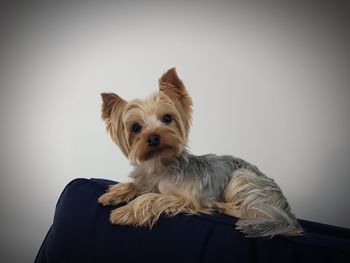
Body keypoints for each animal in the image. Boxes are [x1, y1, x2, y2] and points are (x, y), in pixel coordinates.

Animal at [98, 68, 304, 239]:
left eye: (167, 118)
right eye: (136, 128)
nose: (154, 138)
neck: (160, 164)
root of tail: (286, 208)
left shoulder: (186, 199)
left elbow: (150, 198)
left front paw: (124, 212)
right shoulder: (147, 181)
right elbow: (135, 186)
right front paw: (113, 194)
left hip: (242, 177)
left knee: (249, 210)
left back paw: (224, 207)